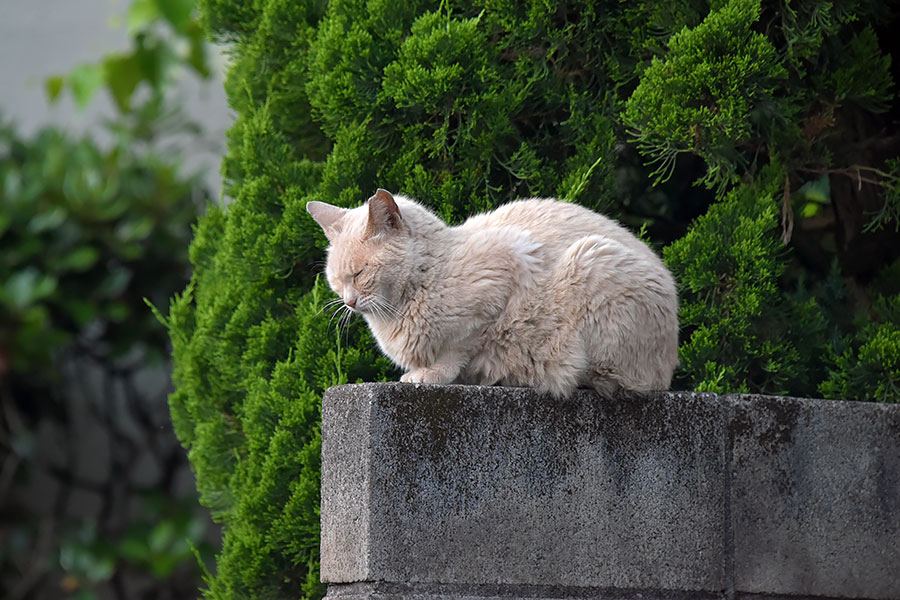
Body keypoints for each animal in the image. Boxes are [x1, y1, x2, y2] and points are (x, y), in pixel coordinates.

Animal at [306, 189, 680, 398]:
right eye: (336, 281)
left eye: (360, 274)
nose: (349, 301)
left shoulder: (504, 274)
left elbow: (458, 349)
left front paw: (431, 376)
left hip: (590, 259)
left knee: (619, 382)